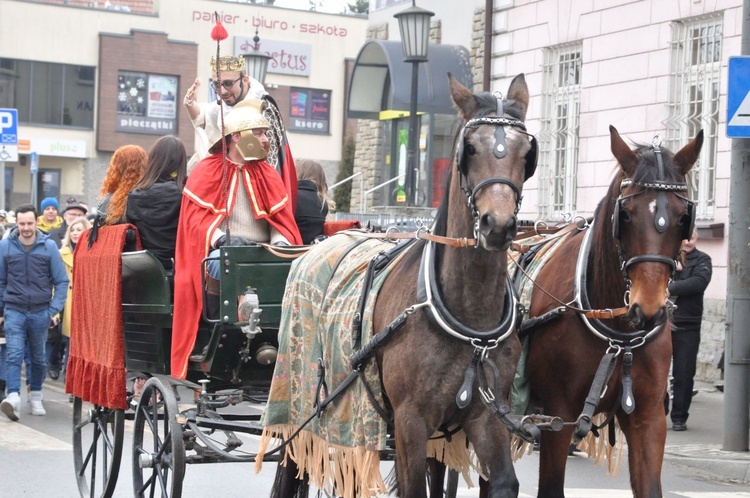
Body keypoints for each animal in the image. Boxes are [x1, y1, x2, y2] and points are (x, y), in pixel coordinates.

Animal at [270, 72, 540, 496]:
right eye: (470, 148)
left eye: (526, 152)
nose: (497, 225)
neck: (467, 316)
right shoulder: (411, 421)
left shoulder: (486, 415)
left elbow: (503, 481)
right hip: (304, 411)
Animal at [524, 125, 704, 498]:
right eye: (626, 214)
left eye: (684, 217)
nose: (648, 309)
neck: (619, 336)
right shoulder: (557, 416)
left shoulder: (648, 416)